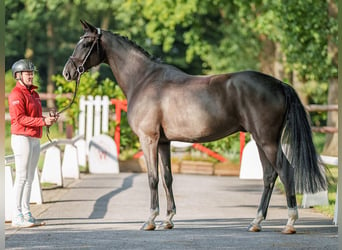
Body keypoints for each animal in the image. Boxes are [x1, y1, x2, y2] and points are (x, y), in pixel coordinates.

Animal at [62, 20, 328, 234]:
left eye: (86, 43)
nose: (67, 72)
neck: (144, 79)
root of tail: (279, 84)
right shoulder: (163, 142)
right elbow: (167, 178)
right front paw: (168, 219)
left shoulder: (148, 139)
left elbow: (152, 178)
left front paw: (150, 220)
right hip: (262, 141)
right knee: (269, 176)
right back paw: (256, 222)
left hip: (267, 140)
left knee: (286, 171)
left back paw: (290, 223)